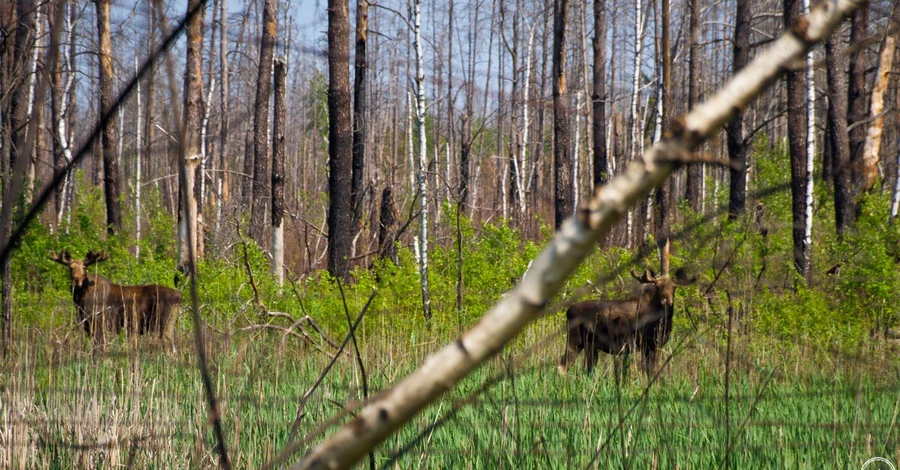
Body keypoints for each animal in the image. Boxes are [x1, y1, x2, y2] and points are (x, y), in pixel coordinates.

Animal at [50, 250, 183, 352]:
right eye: (70, 268)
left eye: (85, 267)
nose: (76, 281)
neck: (81, 301)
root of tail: (179, 296)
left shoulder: (99, 323)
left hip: (165, 323)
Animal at [560, 266, 700, 376]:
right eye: (658, 287)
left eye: (674, 287)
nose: (667, 301)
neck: (662, 321)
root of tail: (568, 311)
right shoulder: (646, 344)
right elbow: (648, 369)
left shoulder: (657, 344)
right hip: (575, 341)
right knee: (563, 365)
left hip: (591, 346)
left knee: (587, 369)